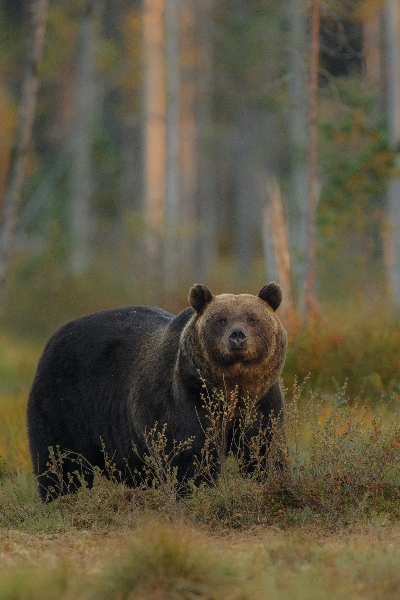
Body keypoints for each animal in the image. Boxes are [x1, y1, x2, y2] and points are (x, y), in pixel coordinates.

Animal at [26, 284, 286, 500]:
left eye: (252, 318)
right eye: (221, 320)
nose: (237, 335)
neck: (232, 387)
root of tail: (56, 335)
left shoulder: (262, 399)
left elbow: (264, 446)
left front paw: (269, 479)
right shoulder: (186, 395)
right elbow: (190, 452)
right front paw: (196, 490)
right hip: (65, 398)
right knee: (60, 457)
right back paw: (62, 497)